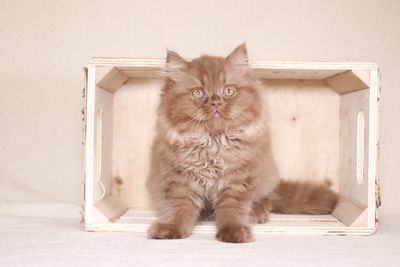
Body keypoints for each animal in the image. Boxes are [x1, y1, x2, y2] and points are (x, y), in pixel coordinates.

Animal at [145, 44, 336, 243]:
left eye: (228, 90)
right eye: (198, 93)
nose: (216, 102)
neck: (213, 143)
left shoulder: (238, 179)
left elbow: (232, 209)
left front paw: (233, 231)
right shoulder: (179, 179)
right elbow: (179, 207)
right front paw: (171, 229)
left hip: (266, 177)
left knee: (268, 197)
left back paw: (258, 211)